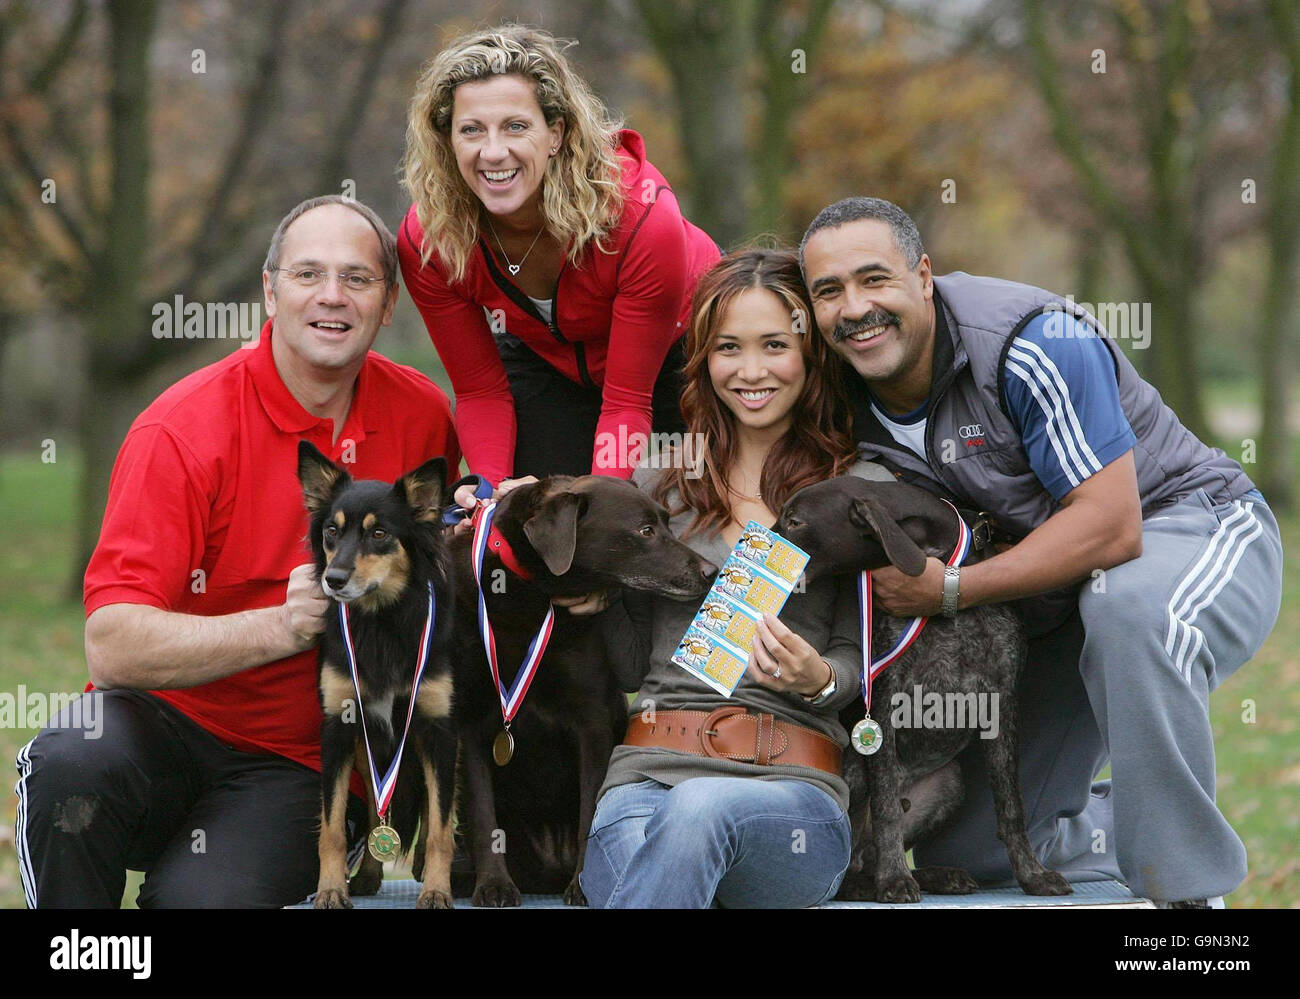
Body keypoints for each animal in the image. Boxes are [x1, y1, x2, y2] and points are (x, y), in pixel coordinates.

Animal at [297, 442, 460, 910]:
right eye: (331, 532)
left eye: (380, 534)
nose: (333, 580)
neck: (381, 621)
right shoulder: (339, 727)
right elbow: (333, 828)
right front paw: (330, 889)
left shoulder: (439, 729)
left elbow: (441, 826)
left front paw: (437, 889)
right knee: (373, 812)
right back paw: (368, 874)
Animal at [444, 476, 712, 905]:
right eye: (646, 531)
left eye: (668, 523)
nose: (711, 570)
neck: (531, 594)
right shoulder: (469, 721)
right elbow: (483, 813)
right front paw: (494, 886)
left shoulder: (592, 723)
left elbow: (591, 810)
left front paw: (584, 885)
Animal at [774, 476, 1071, 905]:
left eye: (795, 521)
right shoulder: (883, 705)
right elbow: (885, 809)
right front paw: (895, 879)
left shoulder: (1002, 701)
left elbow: (1011, 805)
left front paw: (1033, 874)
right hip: (854, 774)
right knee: (850, 865)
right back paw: (878, 881)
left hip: (949, 783)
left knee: (866, 857)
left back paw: (939, 875)